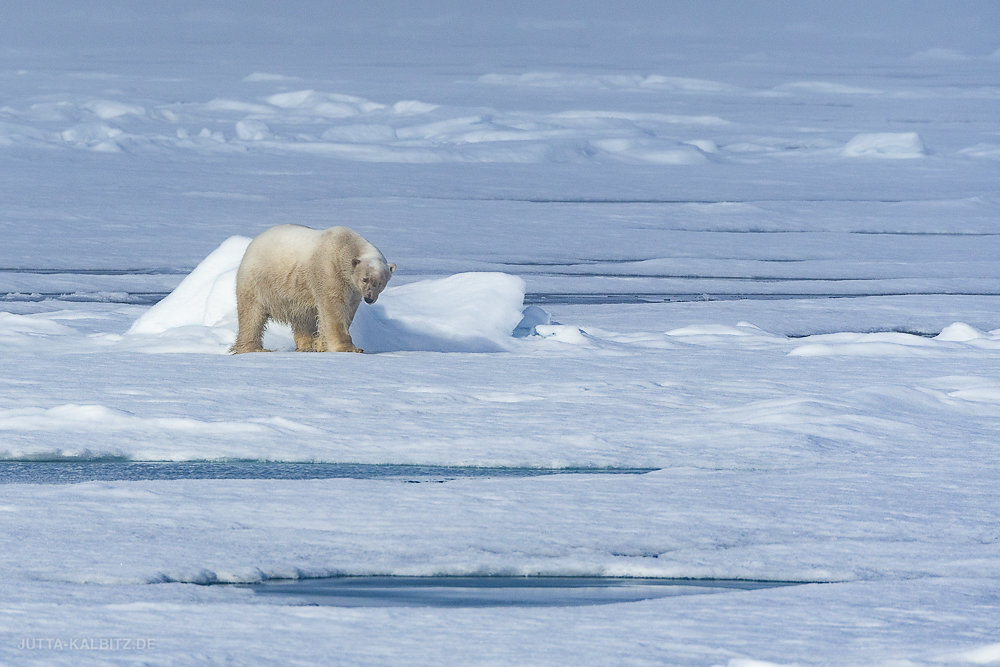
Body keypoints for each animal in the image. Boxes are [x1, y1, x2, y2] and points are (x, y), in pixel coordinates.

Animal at [229, 226, 394, 354]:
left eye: (381, 283)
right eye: (365, 279)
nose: (369, 298)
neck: (345, 245)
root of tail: (252, 244)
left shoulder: (353, 290)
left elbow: (348, 310)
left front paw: (320, 344)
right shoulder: (329, 270)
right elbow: (333, 307)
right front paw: (349, 348)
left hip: (297, 291)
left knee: (303, 316)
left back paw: (307, 346)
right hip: (256, 280)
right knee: (251, 314)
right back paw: (253, 348)